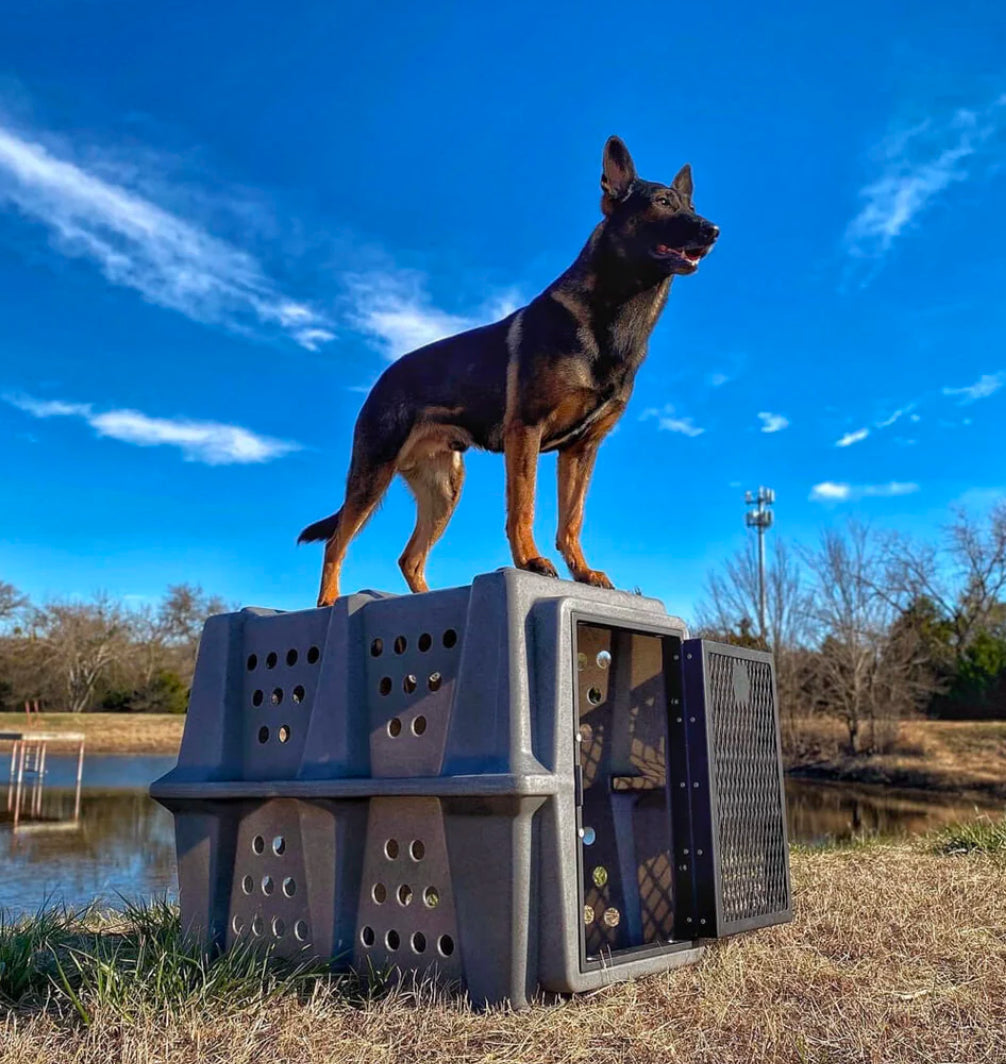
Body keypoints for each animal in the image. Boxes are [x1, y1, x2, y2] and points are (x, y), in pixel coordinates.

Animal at [298, 138, 715, 608]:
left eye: (692, 205)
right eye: (662, 202)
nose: (713, 230)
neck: (615, 316)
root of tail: (384, 376)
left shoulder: (581, 450)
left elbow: (572, 519)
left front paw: (583, 572)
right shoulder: (527, 431)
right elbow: (524, 505)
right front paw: (530, 561)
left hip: (445, 490)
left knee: (411, 558)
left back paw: (431, 597)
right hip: (373, 476)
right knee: (338, 542)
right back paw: (330, 601)